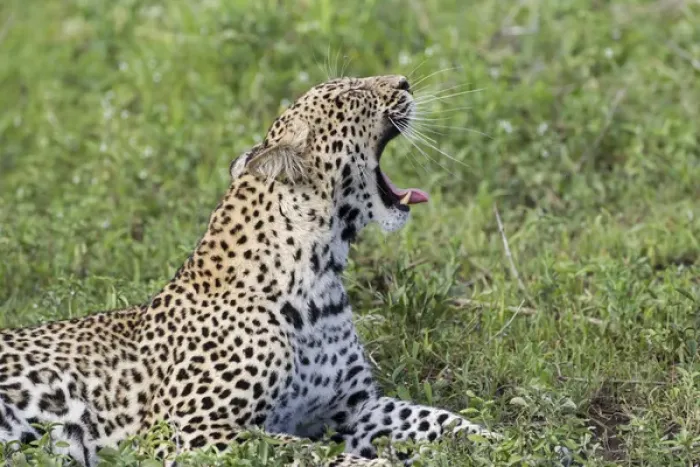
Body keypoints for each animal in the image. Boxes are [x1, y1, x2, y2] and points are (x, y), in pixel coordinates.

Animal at [0, 75, 500, 466]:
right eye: (351, 95)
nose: (404, 82)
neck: (320, 277)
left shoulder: (353, 409)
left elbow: (436, 418)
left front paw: (495, 441)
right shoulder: (193, 432)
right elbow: (299, 452)